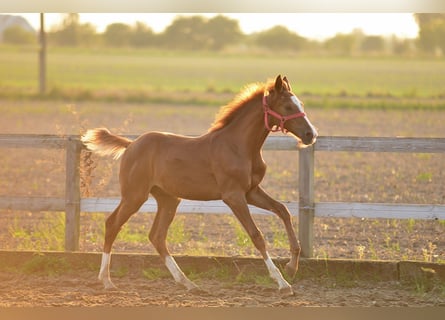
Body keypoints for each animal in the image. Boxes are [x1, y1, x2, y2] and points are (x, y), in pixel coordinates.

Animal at [80, 75, 316, 296]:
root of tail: (131, 145)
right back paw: (107, 280)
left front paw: (292, 267)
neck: (239, 146)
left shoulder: (251, 192)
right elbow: (256, 235)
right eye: (288, 106)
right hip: (134, 195)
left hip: (168, 199)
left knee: (157, 236)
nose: (311, 134)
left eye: (301, 104)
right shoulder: (233, 195)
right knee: (113, 224)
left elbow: (283, 210)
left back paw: (188, 283)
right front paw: (283, 283)